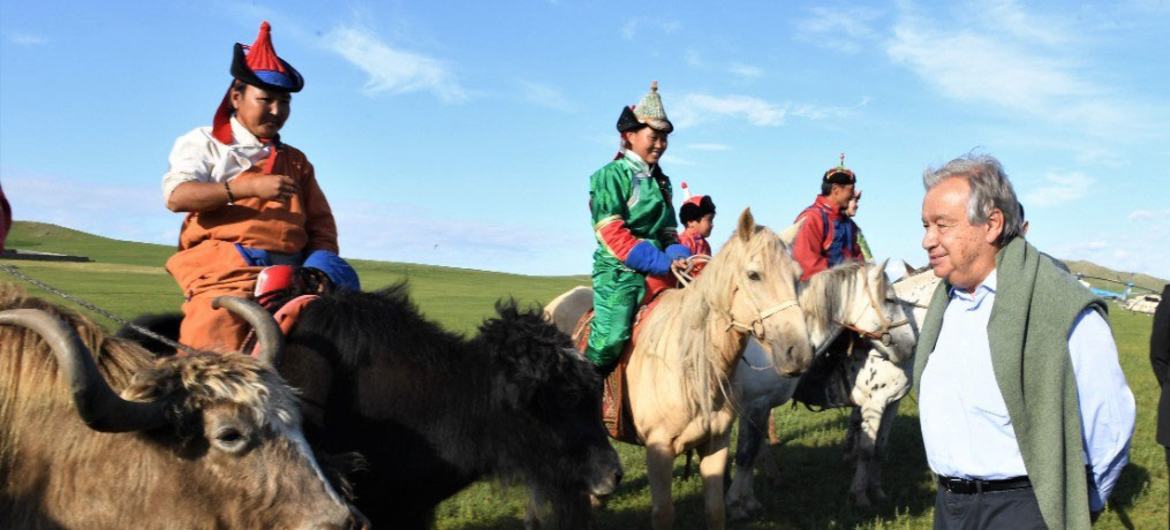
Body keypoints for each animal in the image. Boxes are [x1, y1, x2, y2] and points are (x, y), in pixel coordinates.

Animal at [540, 208, 809, 526]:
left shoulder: (716, 443)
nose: (799, 352)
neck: (695, 365)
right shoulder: (659, 449)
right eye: (753, 275)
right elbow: (664, 513)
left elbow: (715, 509)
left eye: (797, 276)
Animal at [720, 259, 921, 517]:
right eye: (889, 299)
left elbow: (879, 448)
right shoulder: (755, 404)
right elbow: (746, 454)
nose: (910, 345)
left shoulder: (891, 403)